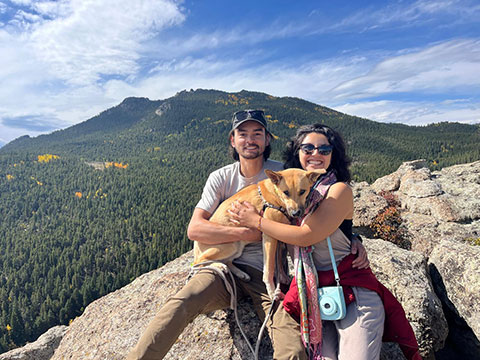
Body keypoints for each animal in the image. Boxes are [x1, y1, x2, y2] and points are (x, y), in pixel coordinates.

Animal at [193, 169, 324, 300]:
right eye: (286, 192)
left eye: (302, 191)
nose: (296, 213)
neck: (275, 195)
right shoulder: (269, 237)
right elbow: (269, 268)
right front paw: (272, 291)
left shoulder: (280, 235)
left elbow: (279, 261)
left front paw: (282, 278)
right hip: (230, 245)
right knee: (198, 263)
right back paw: (219, 266)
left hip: (237, 248)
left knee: (227, 261)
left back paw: (240, 273)